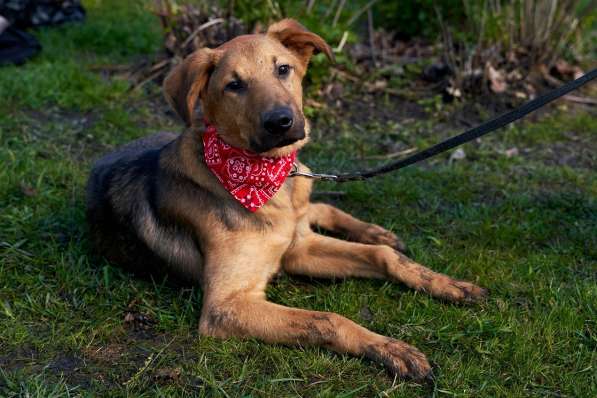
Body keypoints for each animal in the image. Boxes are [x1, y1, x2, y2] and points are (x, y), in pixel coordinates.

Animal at [86, 18, 486, 380]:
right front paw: (390, 348)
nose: (281, 122)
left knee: (320, 208)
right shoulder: (226, 305)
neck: (264, 178)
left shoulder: (298, 248)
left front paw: (446, 284)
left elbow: (383, 256)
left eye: (283, 69)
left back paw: (375, 230)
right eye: (234, 85)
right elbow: (327, 320)